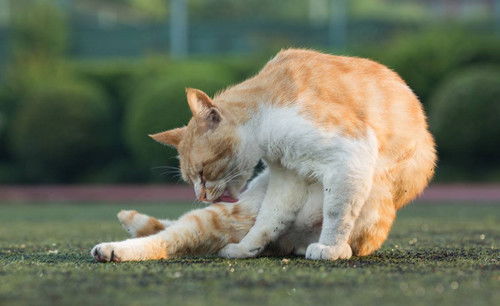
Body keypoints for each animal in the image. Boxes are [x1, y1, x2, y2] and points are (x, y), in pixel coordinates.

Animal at [92, 49, 436, 262]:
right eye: (190, 179)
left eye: (203, 172)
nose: (199, 196)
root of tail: (290, 244)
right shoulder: (287, 175)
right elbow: (270, 218)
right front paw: (246, 248)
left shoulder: (348, 153)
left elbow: (338, 211)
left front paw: (330, 247)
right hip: (232, 212)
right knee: (173, 234)